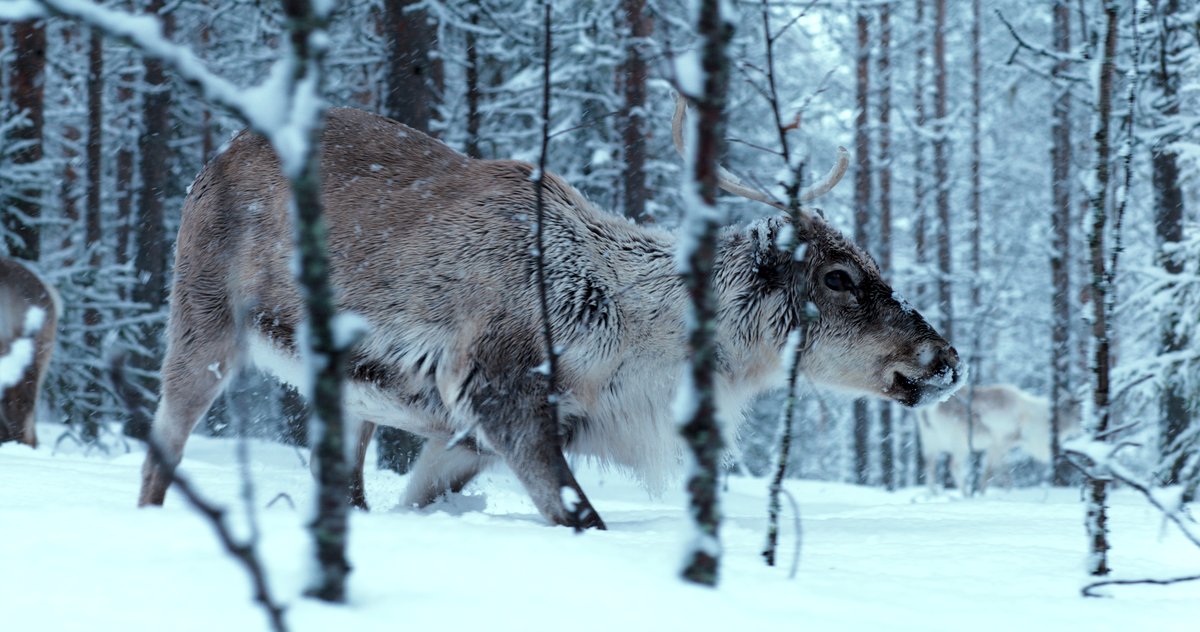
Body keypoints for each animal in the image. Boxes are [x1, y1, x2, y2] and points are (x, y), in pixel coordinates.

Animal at [138, 102, 962, 529]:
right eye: (839, 275)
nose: (946, 359)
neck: (634, 332)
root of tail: (213, 158)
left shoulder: (465, 438)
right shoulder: (503, 395)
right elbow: (581, 515)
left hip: (349, 396)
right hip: (202, 325)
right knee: (158, 455)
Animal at [917, 384, 1079, 492]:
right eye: (1075, 412)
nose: (1082, 428)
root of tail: (927, 410)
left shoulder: (997, 447)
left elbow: (995, 471)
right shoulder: (1000, 443)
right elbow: (997, 471)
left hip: (930, 442)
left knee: (929, 467)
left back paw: (933, 494)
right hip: (960, 443)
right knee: (954, 466)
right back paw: (966, 493)